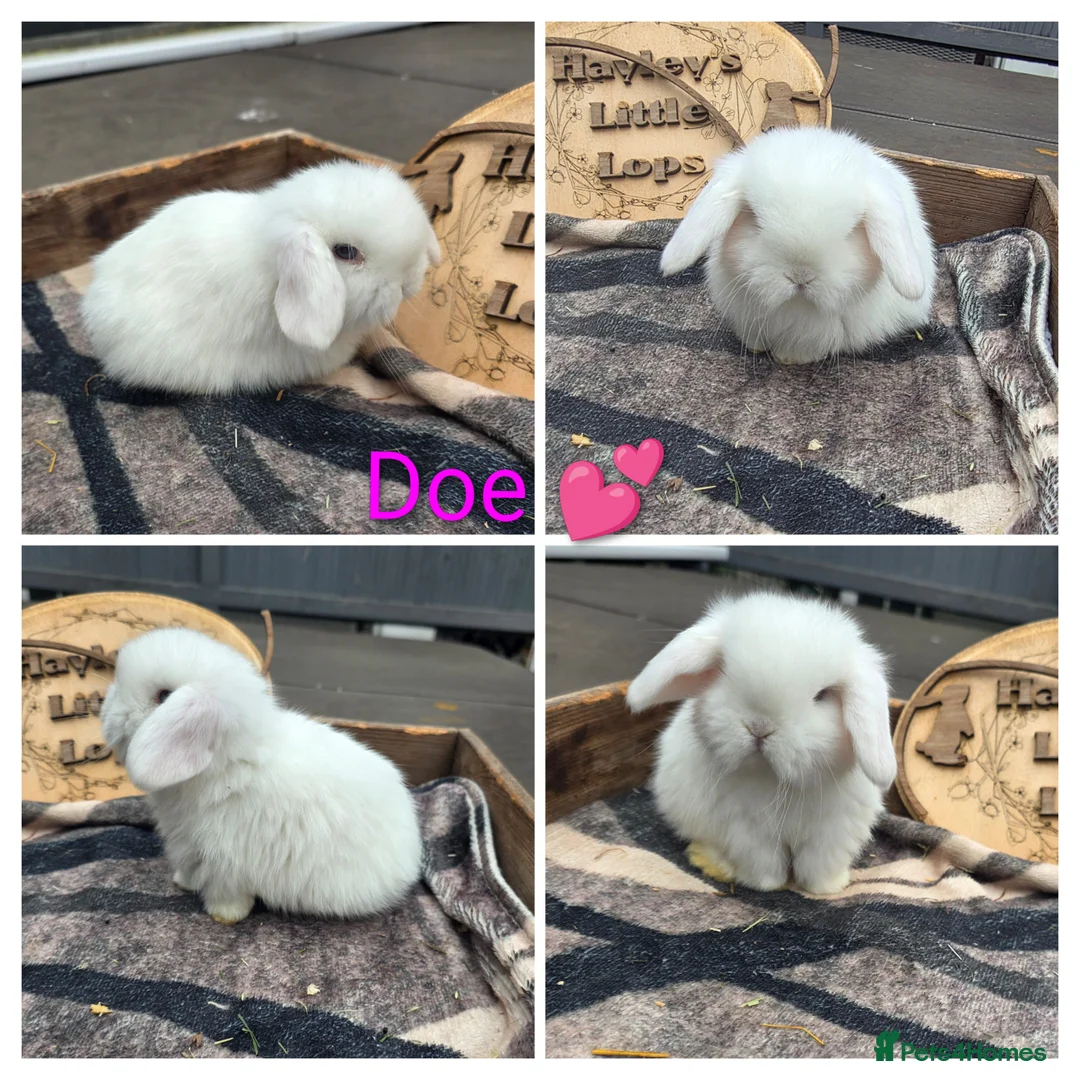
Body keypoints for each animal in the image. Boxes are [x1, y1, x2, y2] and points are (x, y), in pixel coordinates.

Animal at [100, 627, 423, 924]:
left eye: (164, 696)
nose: (105, 710)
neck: (231, 764)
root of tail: (411, 856)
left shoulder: (226, 861)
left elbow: (228, 894)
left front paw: (224, 916)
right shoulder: (192, 849)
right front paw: (182, 882)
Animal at [626, 592, 896, 895]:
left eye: (822, 695)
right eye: (724, 672)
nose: (759, 728)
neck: (776, 782)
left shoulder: (832, 834)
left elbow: (819, 865)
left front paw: (827, 889)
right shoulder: (748, 831)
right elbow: (763, 861)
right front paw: (767, 886)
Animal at [659, 126, 936, 365]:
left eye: (850, 232)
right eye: (755, 219)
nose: (800, 276)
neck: (795, 307)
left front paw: (788, 358)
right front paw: (755, 347)